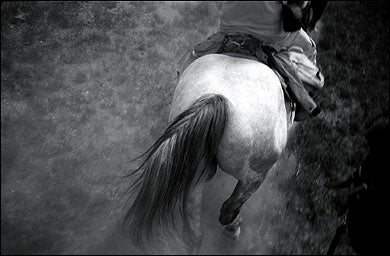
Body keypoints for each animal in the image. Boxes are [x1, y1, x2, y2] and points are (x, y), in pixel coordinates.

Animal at [122, 52, 296, 254]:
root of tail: (216, 97)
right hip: (253, 174)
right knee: (229, 209)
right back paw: (233, 229)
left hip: (195, 173)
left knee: (193, 232)